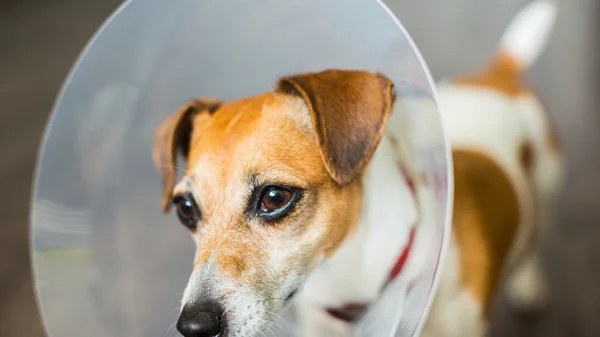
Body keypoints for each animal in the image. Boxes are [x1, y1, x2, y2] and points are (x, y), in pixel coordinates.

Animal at [152, 1, 564, 334]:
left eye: (274, 197)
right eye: (186, 209)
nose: (194, 326)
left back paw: (529, 282)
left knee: (538, 228)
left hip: (548, 183)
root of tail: (498, 73)